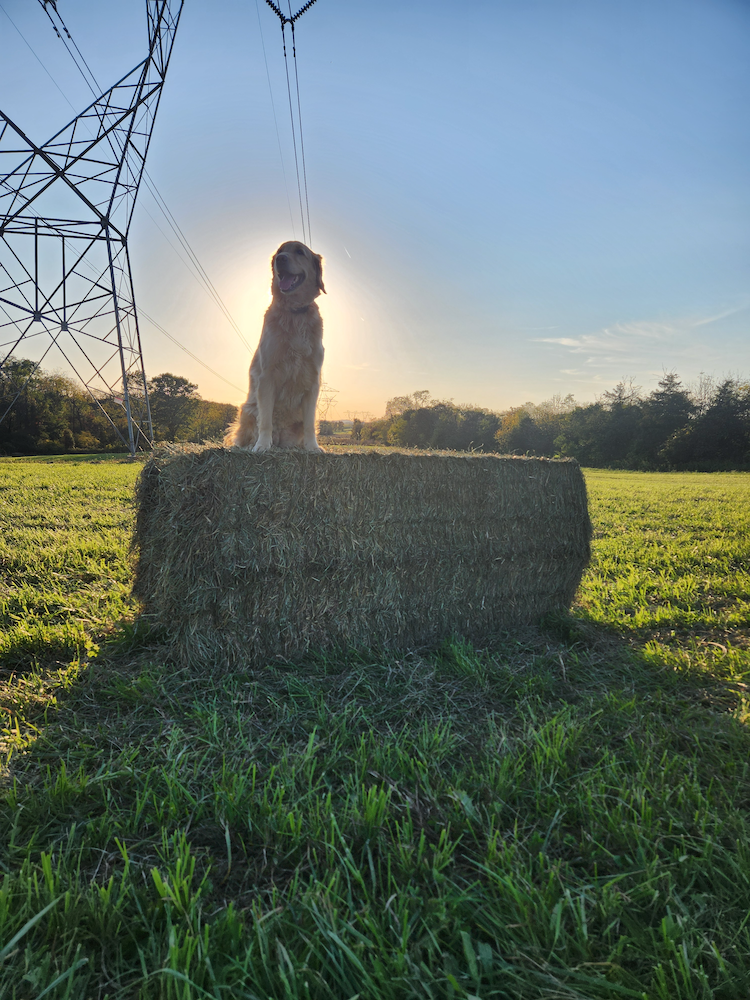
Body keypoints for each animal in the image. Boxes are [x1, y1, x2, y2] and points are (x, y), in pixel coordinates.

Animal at [226, 240, 326, 452]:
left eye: (300, 252)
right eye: (280, 252)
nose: (280, 259)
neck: (295, 312)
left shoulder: (313, 380)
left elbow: (309, 423)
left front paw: (312, 447)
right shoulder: (267, 376)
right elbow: (265, 420)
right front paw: (262, 446)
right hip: (248, 408)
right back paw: (250, 445)